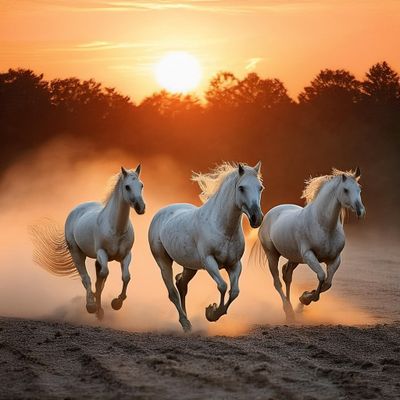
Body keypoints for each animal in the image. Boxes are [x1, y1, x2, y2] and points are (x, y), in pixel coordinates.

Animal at [30, 165, 145, 318]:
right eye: (127, 187)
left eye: (141, 185)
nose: (141, 207)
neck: (116, 228)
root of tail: (77, 209)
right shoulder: (102, 253)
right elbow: (103, 275)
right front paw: (100, 304)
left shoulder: (126, 255)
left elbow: (125, 277)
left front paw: (116, 303)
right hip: (77, 253)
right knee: (86, 278)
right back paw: (91, 305)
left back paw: (99, 309)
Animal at [148, 162, 264, 332]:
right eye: (241, 188)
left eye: (260, 187)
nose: (257, 218)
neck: (223, 228)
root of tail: (160, 213)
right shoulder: (209, 261)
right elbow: (222, 286)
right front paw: (212, 312)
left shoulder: (234, 264)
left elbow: (234, 291)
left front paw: (213, 312)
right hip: (163, 262)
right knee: (173, 292)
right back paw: (185, 324)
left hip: (190, 266)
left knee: (181, 284)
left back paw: (188, 321)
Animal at [253, 167, 366, 320]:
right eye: (346, 190)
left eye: (359, 189)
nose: (361, 211)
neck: (324, 226)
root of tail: (269, 214)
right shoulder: (309, 255)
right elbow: (321, 276)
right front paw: (305, 298)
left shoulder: (335, 259)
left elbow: (327, 283)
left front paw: (303, 300)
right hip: (272, 254)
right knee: (277, 282)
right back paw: (288, 312)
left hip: (294, 258)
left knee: (287, 275)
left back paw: (292, 309)